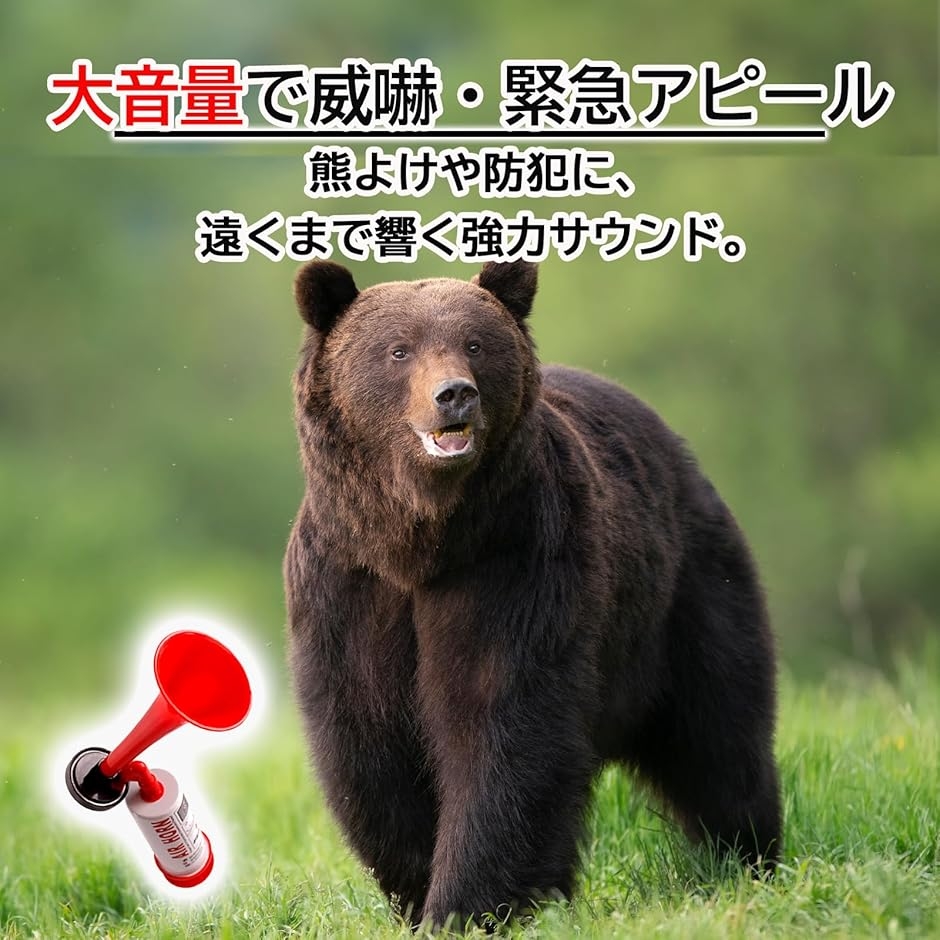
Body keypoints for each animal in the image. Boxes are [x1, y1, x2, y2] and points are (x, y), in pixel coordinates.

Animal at [284, 260, 781, 929]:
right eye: (398, 350)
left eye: (474, 344)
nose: (454, 394)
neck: (420, 544)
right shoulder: (349, 586)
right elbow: (367, 739)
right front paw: (418, 890)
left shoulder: (514, 564)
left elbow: (502, 718)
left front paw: (464, 905)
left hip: (686, 592)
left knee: (718, 731)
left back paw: (749, 855)